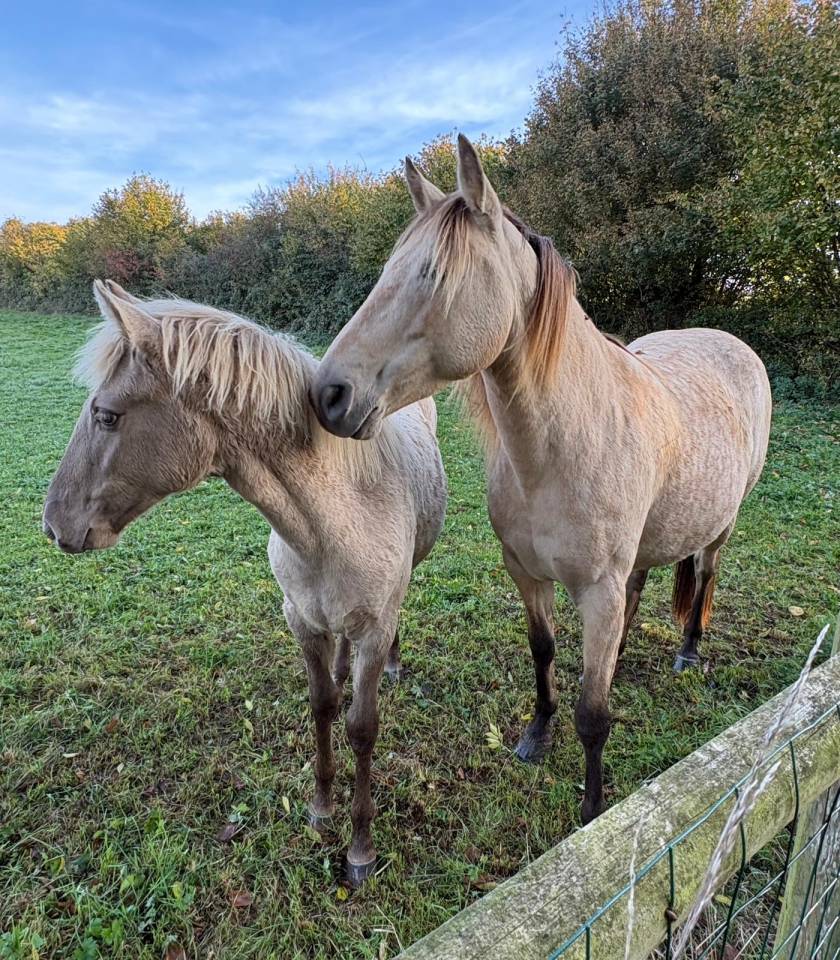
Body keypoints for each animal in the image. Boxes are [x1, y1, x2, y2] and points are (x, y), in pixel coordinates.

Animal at [43, 280, 447, 884]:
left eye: (108, 416)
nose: (54, 523)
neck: (335, 522)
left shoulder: (374, 629)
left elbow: (361, 727)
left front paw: (360, 848)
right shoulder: (301, 620)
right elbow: (323, 704)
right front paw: (321, 809)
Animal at [309, 135, 772, 824]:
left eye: (433, 275)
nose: (329, 394)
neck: (560, 450)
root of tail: (730, 340)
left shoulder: (598, 591)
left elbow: (593, 715)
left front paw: (593, 808)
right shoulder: (526, 574)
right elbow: (545, 652)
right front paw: (536, 734)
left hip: (723, 524)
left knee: (707, 571)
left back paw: (688, 649)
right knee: (641, 587)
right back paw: (623, 655)